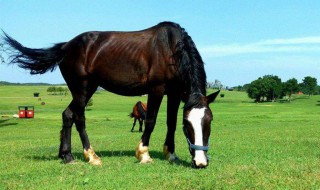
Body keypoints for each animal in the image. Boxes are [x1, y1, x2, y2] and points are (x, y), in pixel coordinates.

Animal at [3, 21, 220, 168]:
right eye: (189, 124)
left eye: (209, 121)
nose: (201, 162)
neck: (170, 48)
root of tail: (66, 46)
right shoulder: (156, 90)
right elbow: (151, 121)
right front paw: (143, 154)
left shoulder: (174, 93)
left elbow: (171, 123)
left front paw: (171, 154)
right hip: (81, 89)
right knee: (79, 118)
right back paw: (91, 156)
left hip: (88, 89)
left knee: (67, 115)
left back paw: (67, 156)